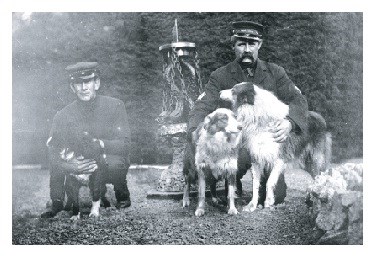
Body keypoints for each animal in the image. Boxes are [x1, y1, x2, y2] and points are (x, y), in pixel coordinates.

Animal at [219, 82, 330, 212]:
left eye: (233, 90)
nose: (220, 92)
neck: (258, 116)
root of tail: (320, 117)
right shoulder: (256, 158)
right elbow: (255, 184)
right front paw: (252, 205)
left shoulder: (279, 159)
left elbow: (269, 182)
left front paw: (268, 201)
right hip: (307, 163)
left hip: (317, 160)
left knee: (322, 177)